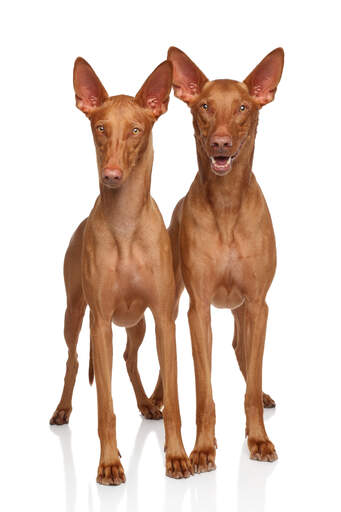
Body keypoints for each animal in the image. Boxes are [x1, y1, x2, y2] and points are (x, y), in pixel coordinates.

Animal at [50, 57, 194, 484]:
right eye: (100, 127)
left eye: (136, 130)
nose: (111, 176)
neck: (126, 223)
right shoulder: (100, 323)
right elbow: (105, 406)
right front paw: (109, 463)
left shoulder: (164, 318)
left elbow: (175, 400)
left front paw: (177, 456)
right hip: (75, 313)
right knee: (74, 359)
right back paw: (62, 409)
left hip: (138, 323)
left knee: (130, 358)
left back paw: (147, 403)